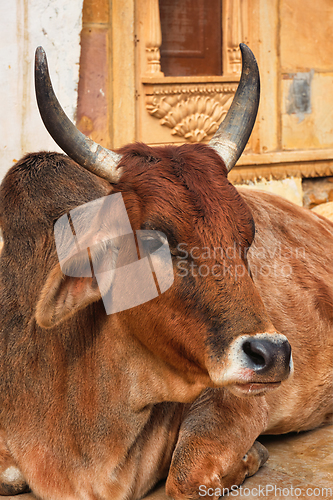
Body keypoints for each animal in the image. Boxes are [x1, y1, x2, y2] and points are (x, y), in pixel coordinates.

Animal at [0, 44, 330, 500]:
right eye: (154, 241)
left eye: (247, 239)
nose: (274, 354)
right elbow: (11, 475)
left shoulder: (237, 399)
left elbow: (185, 479)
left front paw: (251, 457)